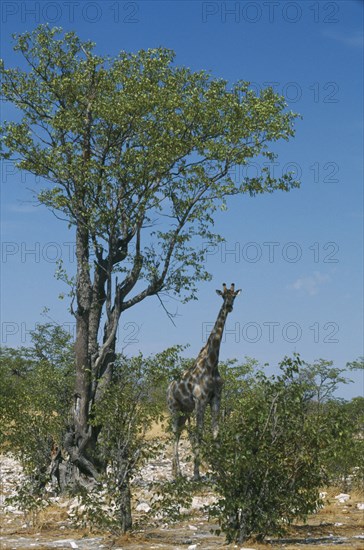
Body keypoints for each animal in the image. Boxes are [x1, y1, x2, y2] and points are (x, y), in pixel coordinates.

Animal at [167, 284, 242, 478]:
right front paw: (196, 473)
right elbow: (199, 434)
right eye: (223, 296)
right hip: (173, 408)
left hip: (185, 410)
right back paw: (177, 474)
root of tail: (168, 387)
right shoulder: (200, 400)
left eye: (234, 296)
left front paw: (221, 471)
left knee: (178, 433)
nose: (229, 306)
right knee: (174, 433)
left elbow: (216, 432)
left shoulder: (216, 398)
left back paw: (176, 472)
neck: (212, 364)